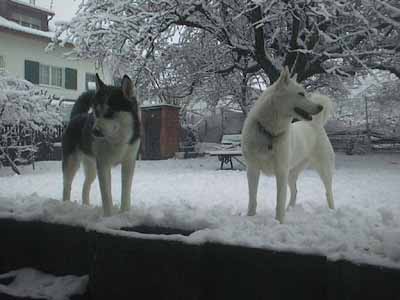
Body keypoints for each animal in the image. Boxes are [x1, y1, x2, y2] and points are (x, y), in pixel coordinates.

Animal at [242, 67, 336, 223]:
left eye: (305, 93)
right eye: (301, 94)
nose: (320, 107)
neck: (270, 132)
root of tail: (316, 124)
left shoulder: (281, 172)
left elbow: (279, 201)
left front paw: (279, 222)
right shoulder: (252, 170)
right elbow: (252, 199)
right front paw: (250, 218)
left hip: (323, 170)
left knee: (329, 192)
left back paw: (332, 211)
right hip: (291, 173)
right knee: (295, 191)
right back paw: (290, 209)